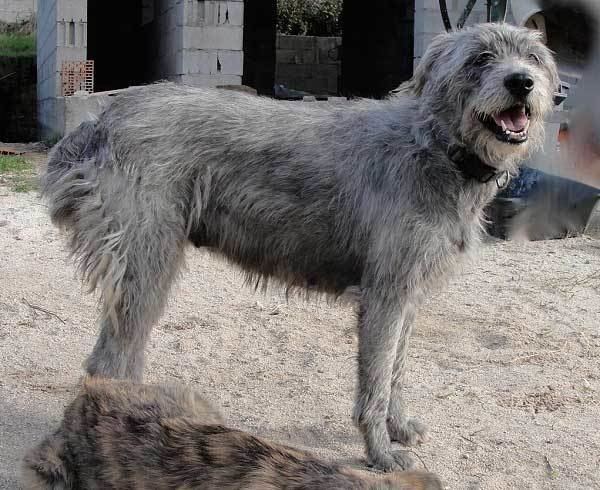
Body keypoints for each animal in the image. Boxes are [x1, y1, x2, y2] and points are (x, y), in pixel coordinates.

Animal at [41, 23, 556, 470]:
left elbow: (396, 371)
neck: (436, 145)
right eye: (480, 58)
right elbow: (375, 381)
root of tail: (102, 119)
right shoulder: (384, 295)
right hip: (146, 261)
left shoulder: (408, 293)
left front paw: (399, 427)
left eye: (533, 57)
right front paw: (380, 453)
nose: (521, 83)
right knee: (110, 358)